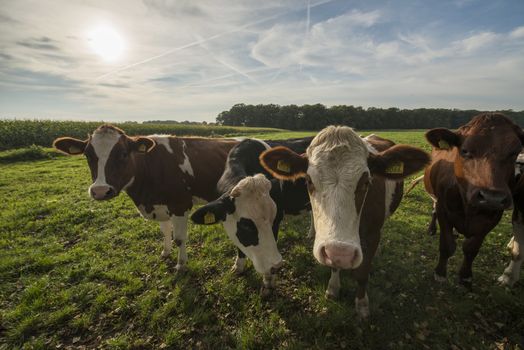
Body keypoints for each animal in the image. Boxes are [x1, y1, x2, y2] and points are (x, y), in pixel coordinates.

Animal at [52, 125, 237, 270]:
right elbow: (165, 231)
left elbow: (179, 238)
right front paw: (165, 252)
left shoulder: (180, 204)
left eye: (124, 154)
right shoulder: (160, 205)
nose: (100, 190)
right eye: (88, 155)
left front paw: (181, 264)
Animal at [424, 113, 520, 288]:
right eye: (465, 150)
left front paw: (465, 277)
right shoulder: (443, 210)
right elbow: (446, 244)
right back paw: (432, 229)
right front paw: (440, 273)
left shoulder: (492, 217)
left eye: (514, 152)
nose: (492, 197)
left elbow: (471, 248)